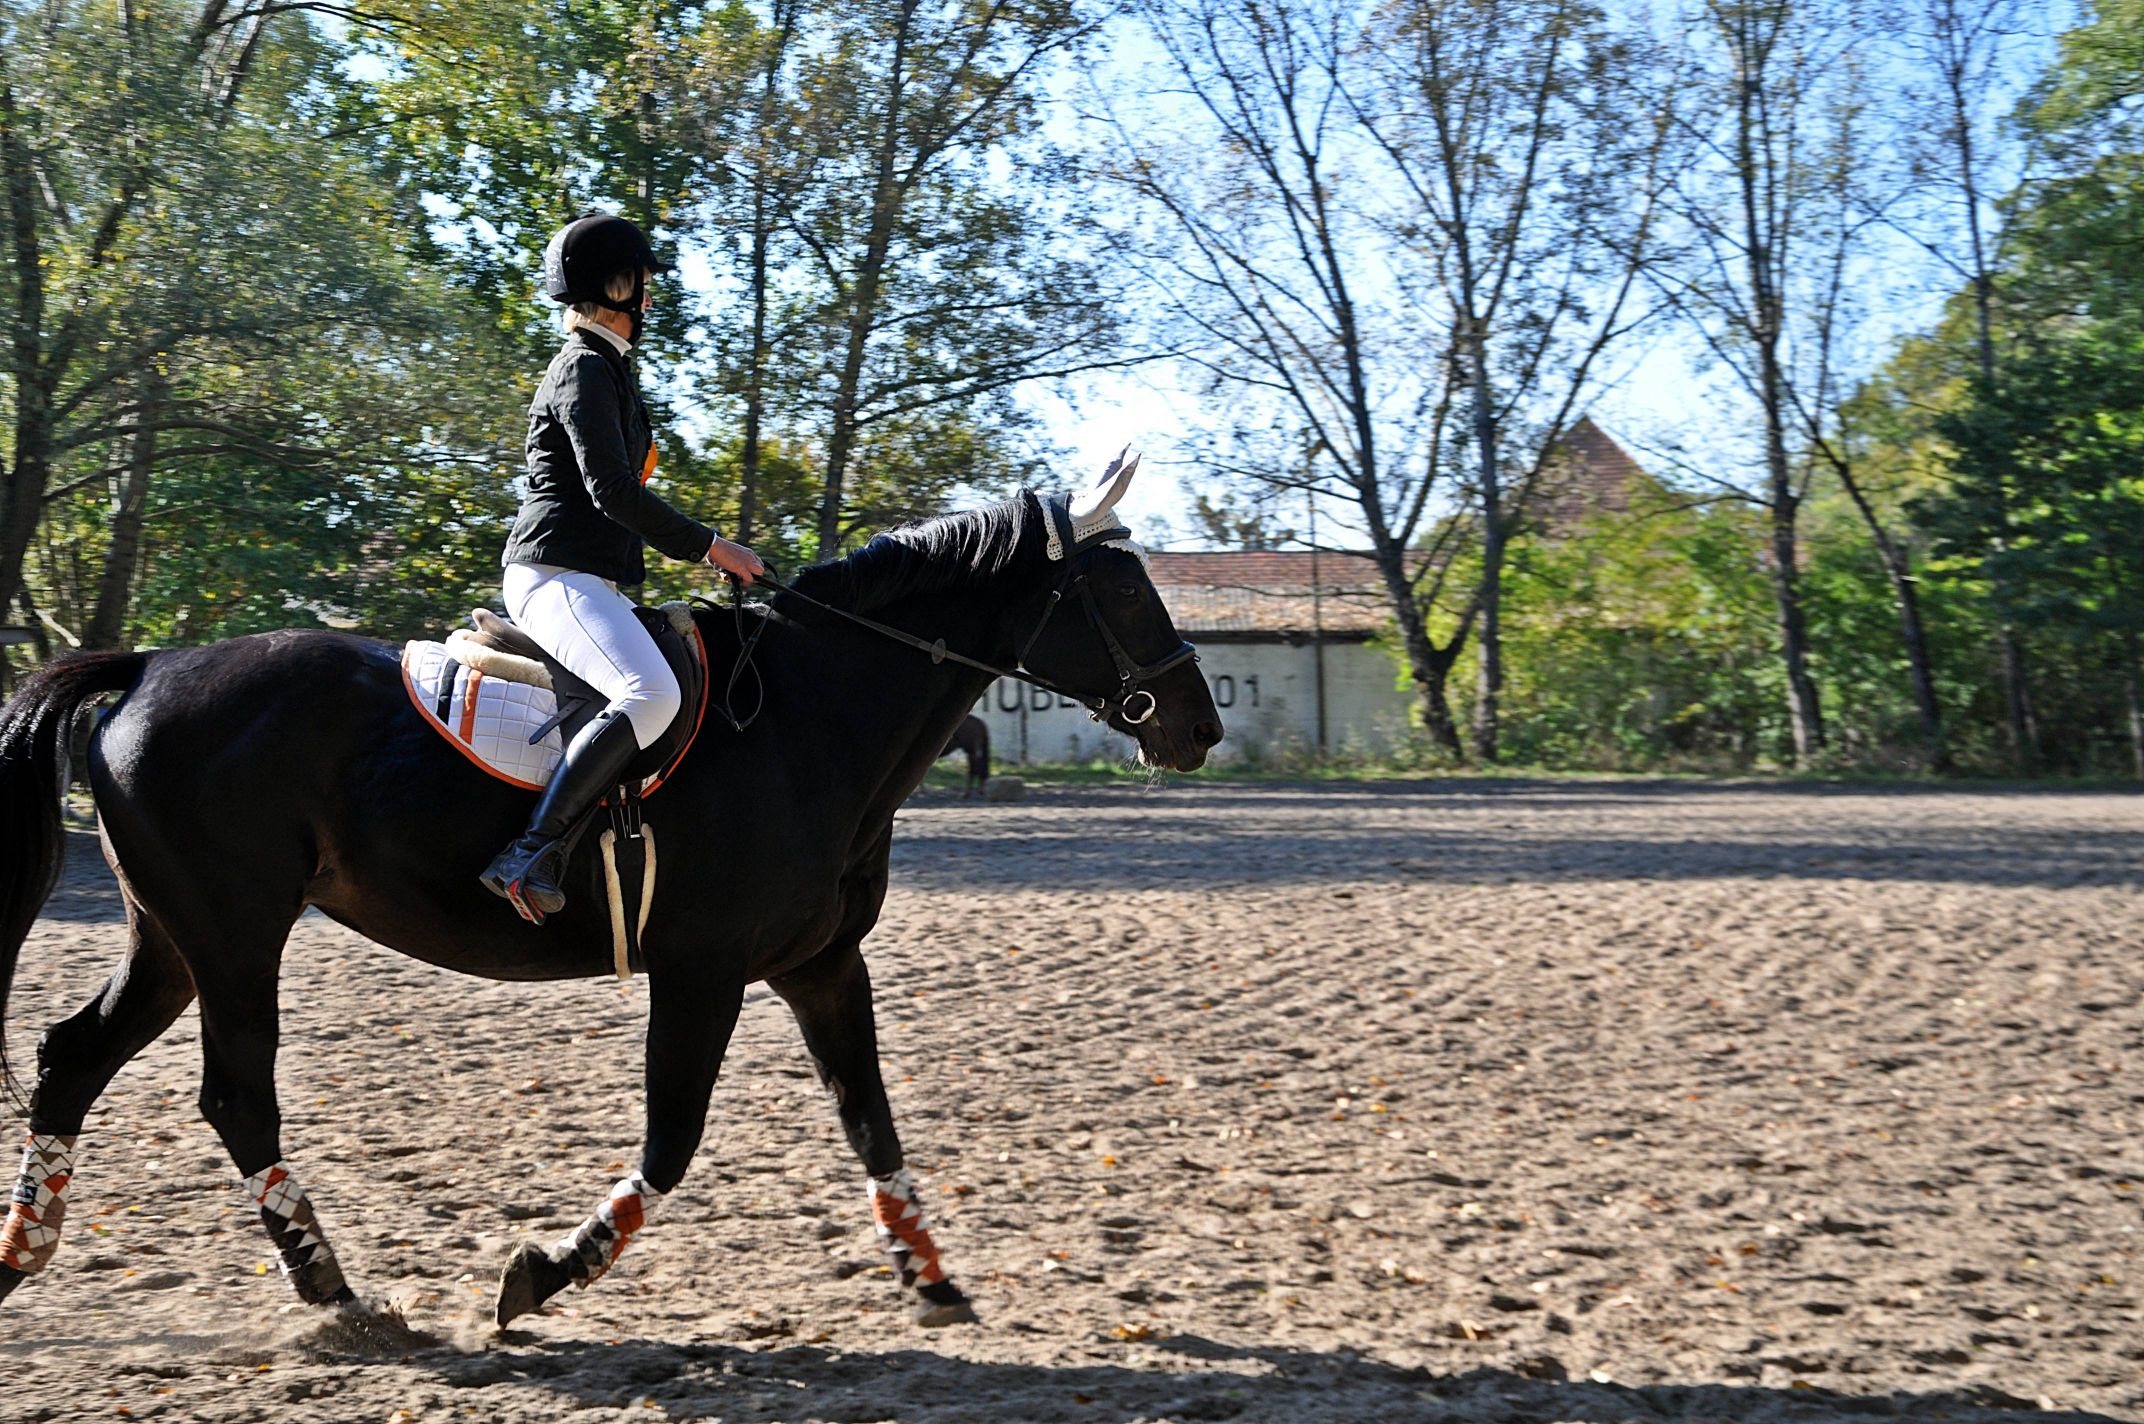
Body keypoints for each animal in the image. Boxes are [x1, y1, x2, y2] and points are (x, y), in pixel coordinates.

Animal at [0, 461, 1217, 1329]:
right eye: (1120, 587)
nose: (1197, 725)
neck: (809, 723)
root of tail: (148, 667)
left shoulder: (822, 965)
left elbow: (870, 1122)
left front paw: (930, 1278)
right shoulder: (701, 970)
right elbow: (673, 1139)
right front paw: (544, 1272)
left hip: (173, 939)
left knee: (73, 1057)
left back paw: (25, 1253)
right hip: (237, 938)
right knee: (236, 1096)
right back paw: (334, 1290)